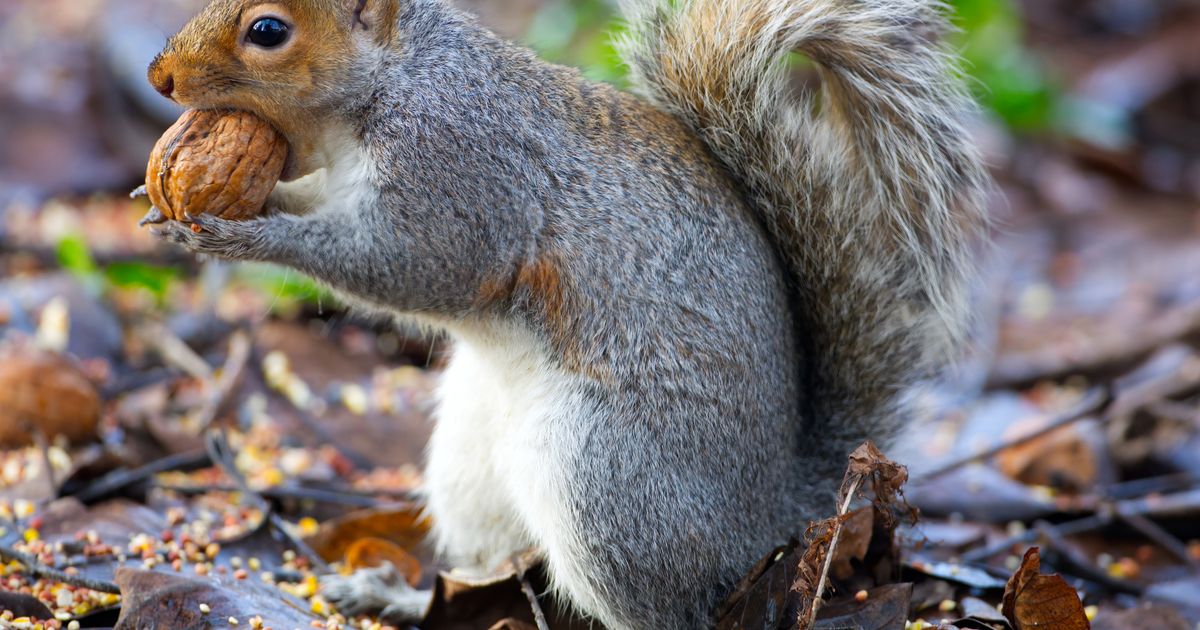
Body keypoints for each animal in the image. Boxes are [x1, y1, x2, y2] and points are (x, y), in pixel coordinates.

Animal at [146, 0, 988, 627]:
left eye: (267, 31)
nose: (160, 76)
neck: (399, 76)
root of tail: (772, 516)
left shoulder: (458, 169)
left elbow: (418, 266)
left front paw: (245, 232)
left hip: (605, 479)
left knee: (662, 611)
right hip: (471, 467)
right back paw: (401, 598)